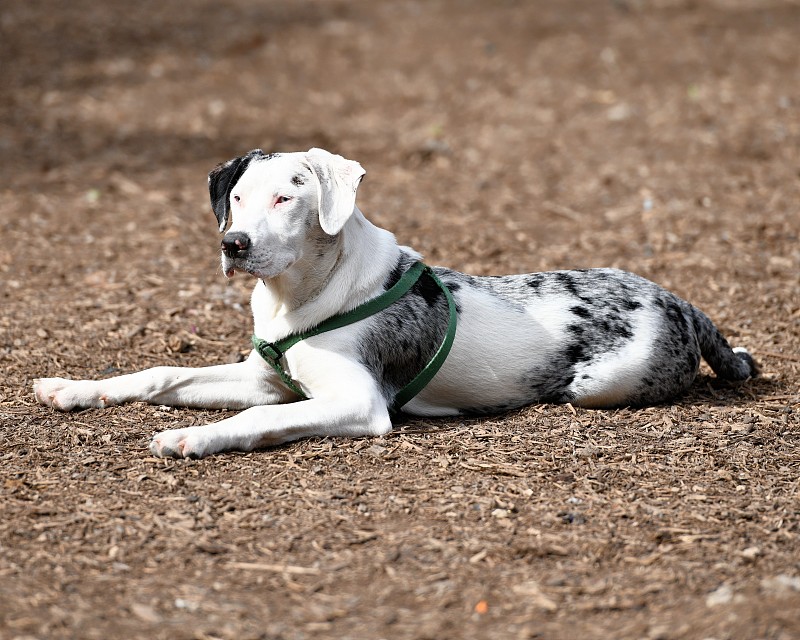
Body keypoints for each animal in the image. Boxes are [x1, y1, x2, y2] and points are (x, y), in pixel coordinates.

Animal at [31, 148, 756, 458]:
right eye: (237, 196)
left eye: (286, 197)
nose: (233, 244)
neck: (299, 297)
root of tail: (680, 301)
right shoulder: (264, 378)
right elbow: (161, 372)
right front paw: (74, 389)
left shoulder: (353, 402)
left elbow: (254, 421)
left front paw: (192, 437)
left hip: (600, 384)